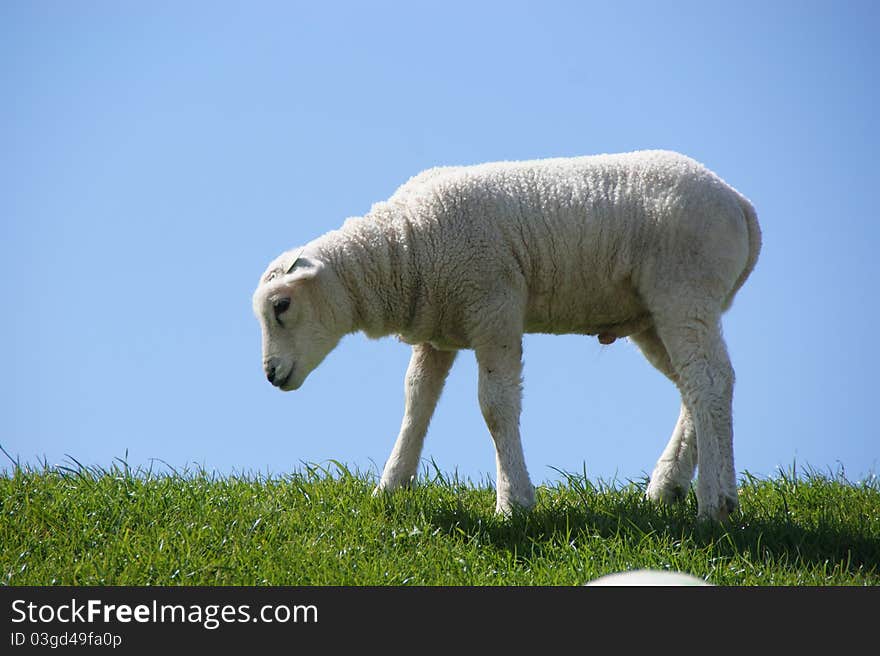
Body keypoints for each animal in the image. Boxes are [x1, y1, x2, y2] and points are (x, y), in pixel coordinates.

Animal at [251, 150, 760, 524]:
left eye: (281, 306)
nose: (271, 375)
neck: (403, 249)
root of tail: (740, 203)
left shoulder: (493, 308)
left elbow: (495, 406)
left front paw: (513, 502)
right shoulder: (438, 331)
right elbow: (417, 400)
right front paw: (391, 486)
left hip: (684, 290)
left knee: (709, 380)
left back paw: (716, 502)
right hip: (654, 313)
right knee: (697, 385)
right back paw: (668, 486)